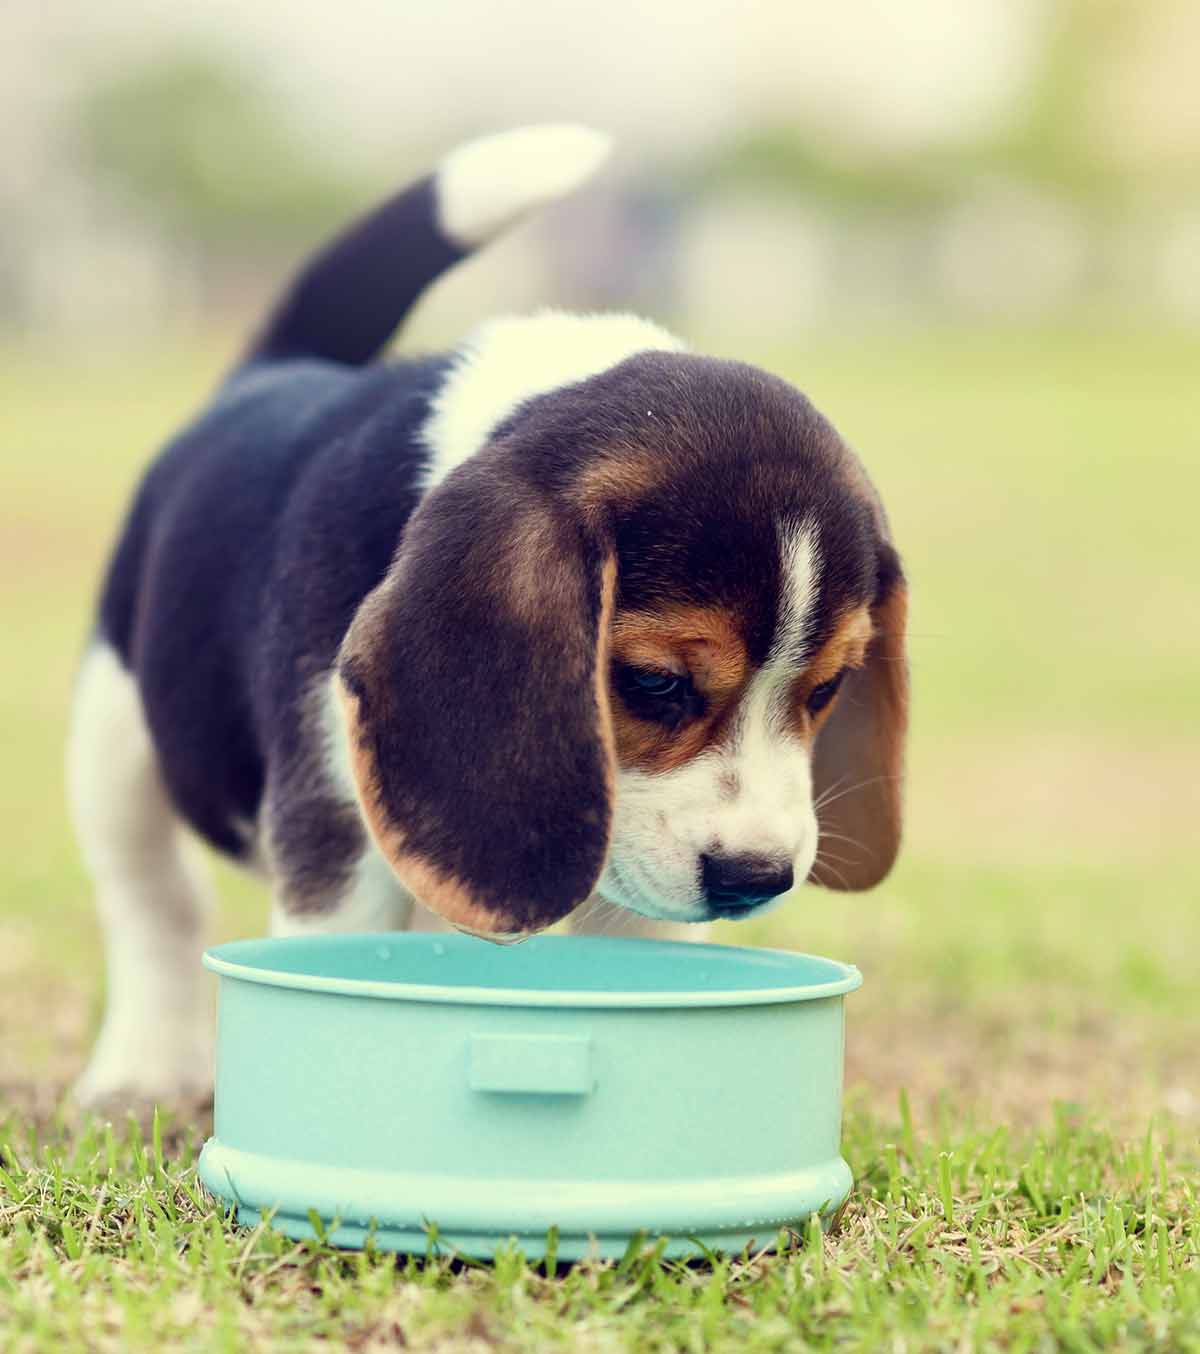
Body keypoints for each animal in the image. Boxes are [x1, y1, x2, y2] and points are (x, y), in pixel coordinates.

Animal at [68, 121, 910, 1104]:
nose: (756, 877)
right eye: (655, 683)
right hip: (113, 737)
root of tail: (272, 371)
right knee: (155, 902)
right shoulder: (333, 841)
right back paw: (142, 1071)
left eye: (828, 690)